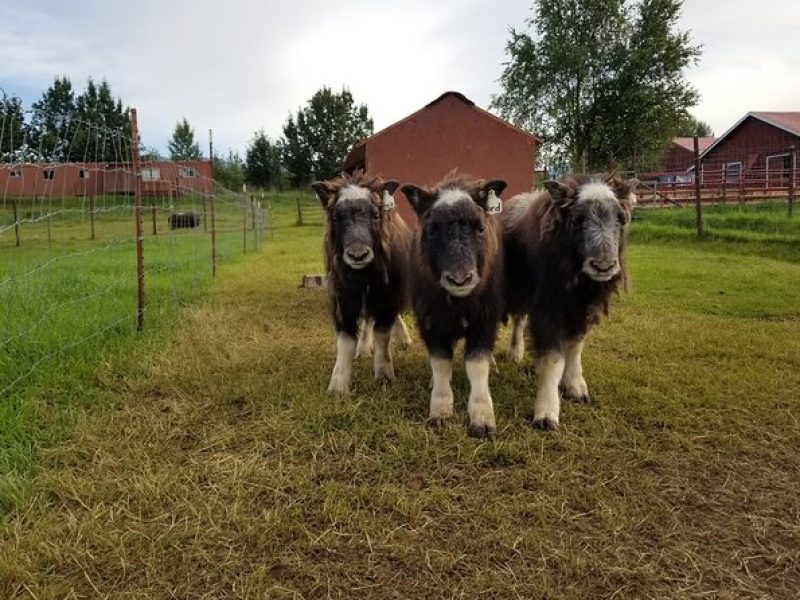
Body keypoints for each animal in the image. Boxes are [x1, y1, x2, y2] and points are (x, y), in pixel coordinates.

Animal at [312, 171, 412, 394]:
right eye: (336, 217)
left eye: (375, 215)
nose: (358, 255)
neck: (362, 275)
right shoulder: (343, 301)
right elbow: (346, 341)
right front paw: (337, 386)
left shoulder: (387, 297)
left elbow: (382, 335)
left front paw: (384, 376)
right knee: (367, 321)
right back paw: (364, 349)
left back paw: (404, 340)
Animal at [400, 173, 506, 440]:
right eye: (432, 229)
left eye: (480, 228)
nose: (460, 280)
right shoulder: (430, 323)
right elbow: (440, 362)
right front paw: (440, 412)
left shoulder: (484, 322)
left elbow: (477, 364)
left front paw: (483, 420)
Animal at [500, 173, 636, 432]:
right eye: (578, 219)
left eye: (621, 219)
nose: (603, 266)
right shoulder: (548, 309)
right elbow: (553, 359)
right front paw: (546, 414)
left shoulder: (582, 310)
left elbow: (575, 347)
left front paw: (576, 388)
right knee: (519, 321)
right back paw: (515, 354)